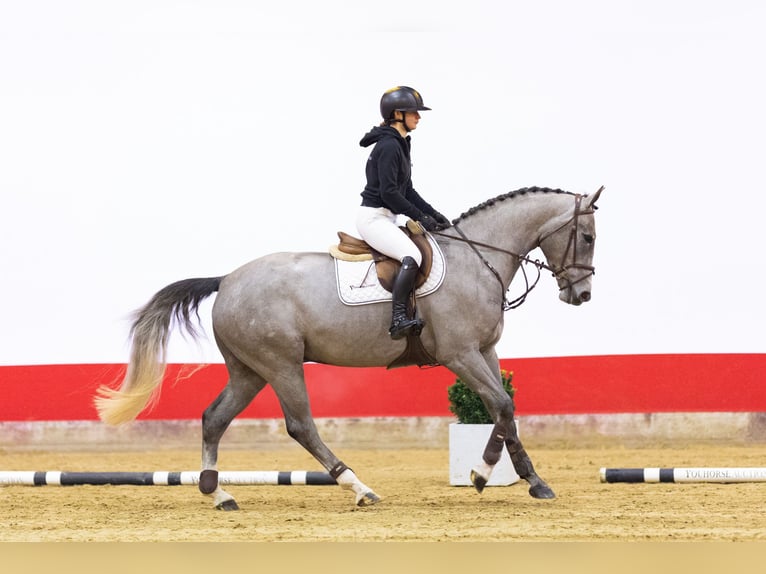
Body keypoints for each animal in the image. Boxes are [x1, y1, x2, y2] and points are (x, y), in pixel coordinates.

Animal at [95, 185, 603, 510]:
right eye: (588, 237)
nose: (580, 295)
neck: (478, 259)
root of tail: (228, 280)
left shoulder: (486, 351)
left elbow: (505, 410)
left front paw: (530, 481)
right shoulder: (460, 354)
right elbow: (500, 405)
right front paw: (485, 475)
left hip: (249, 370)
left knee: (213, 418)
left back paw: (219, 494)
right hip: (280, 365)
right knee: (301, 425)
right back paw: (359, 488)